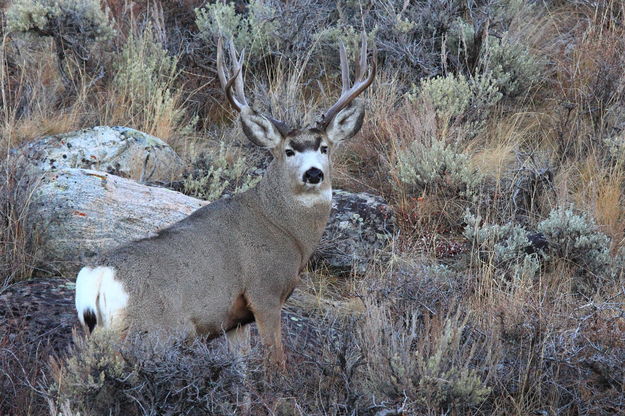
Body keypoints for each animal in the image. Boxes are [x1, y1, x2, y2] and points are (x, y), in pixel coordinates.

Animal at [74, 33, 376, 368]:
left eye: (324, 147)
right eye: (288, 151)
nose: (313, 173)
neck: (285, 229)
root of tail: (98, 277)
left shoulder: (235, 320)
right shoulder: (265, 292)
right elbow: (276, 360)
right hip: (151, 332)